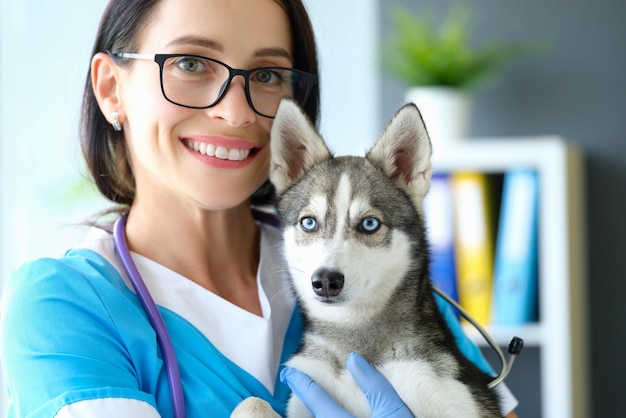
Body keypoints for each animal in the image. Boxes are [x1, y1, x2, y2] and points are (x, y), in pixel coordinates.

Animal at [232, 99, 500, 418]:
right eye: (308, 223)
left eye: (370, 224)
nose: (325, 281)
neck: (354, 344)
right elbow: (252, 402)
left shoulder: (455, 396)